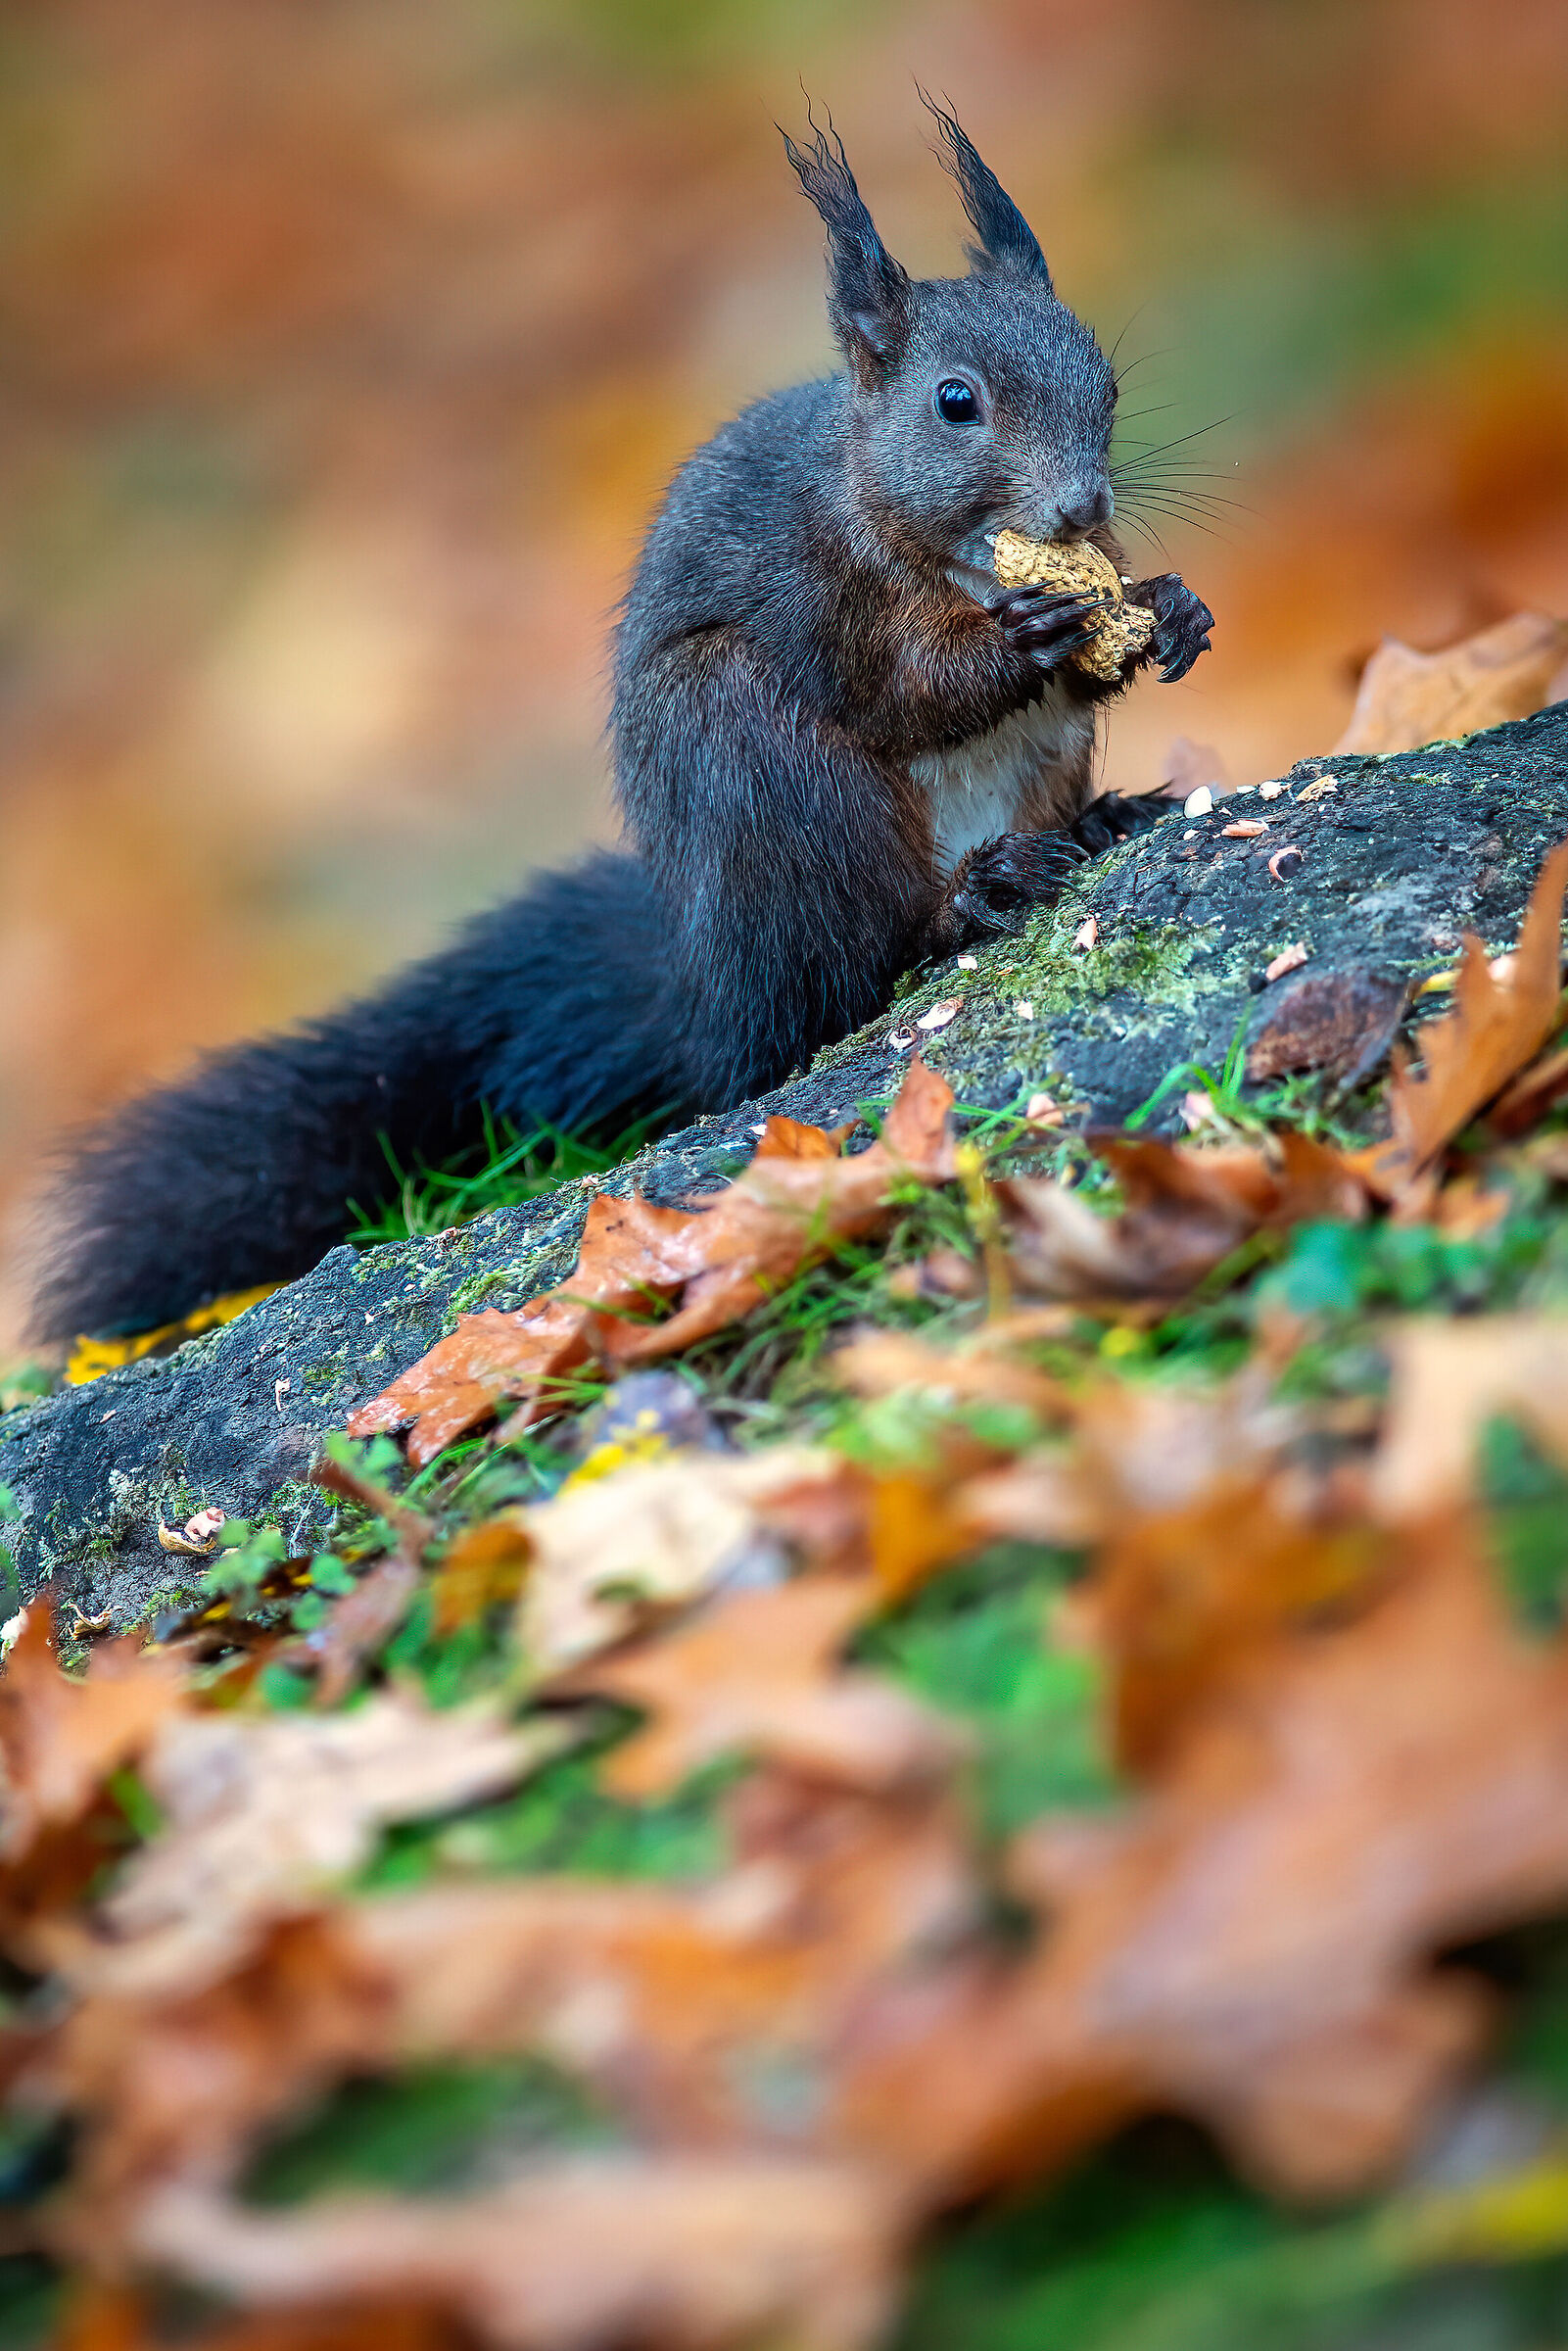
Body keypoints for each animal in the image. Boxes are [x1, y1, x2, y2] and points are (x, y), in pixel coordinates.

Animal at [32, 100, 1212, 1342]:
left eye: (1105, 382)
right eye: (954, 401)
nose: (1081, 506)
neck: (945, 547)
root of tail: (704, 990)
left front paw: (1167, 611)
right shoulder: (810, 597)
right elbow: (897, 693)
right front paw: (1023, 641)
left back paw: (1094, 824)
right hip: (752, 760)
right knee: (841, 980)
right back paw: (971, 897)